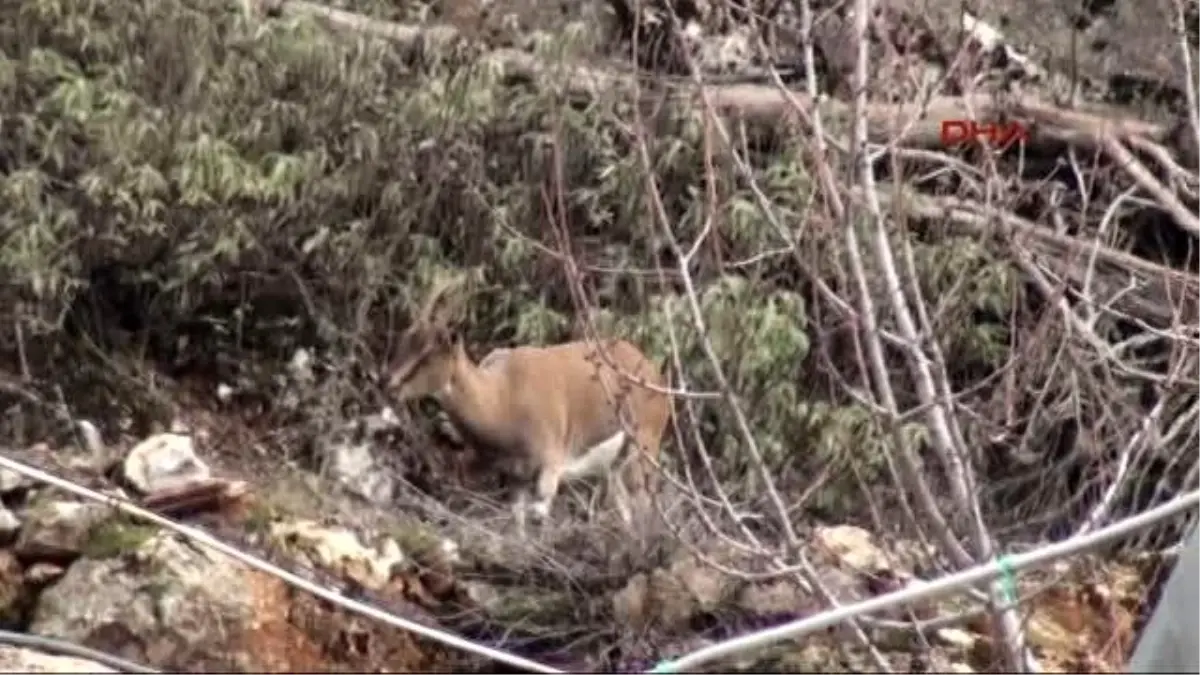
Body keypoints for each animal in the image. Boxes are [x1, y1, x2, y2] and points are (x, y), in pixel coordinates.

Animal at [384, 276, 672, 533]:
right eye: (404, 339)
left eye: (428, 352)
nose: (388, 382)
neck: (502, 396)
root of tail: (652, 373)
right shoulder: (516, 478)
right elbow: (519, 526)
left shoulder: (549, 468)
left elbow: (539, 522)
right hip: (614, 465)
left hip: (645, 446)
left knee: (645, 503)